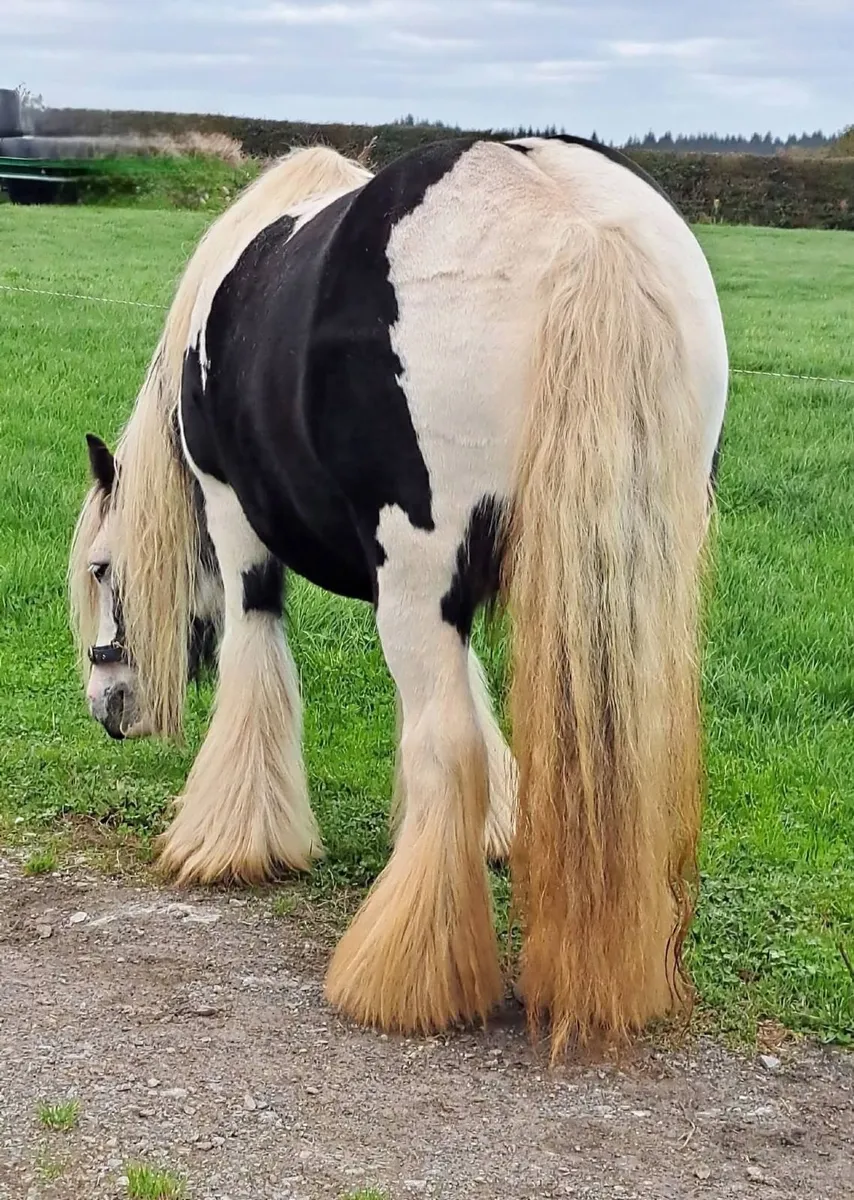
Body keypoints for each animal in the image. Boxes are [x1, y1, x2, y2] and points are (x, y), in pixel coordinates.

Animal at [69, 135, 728, 1057]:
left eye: (100, 568)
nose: (106, 704)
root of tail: (574, 225)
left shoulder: (239, 527)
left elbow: (255, 662)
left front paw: (232, 841)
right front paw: (496, 833)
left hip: (414, 578)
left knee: (443, 748)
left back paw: (401, 978)